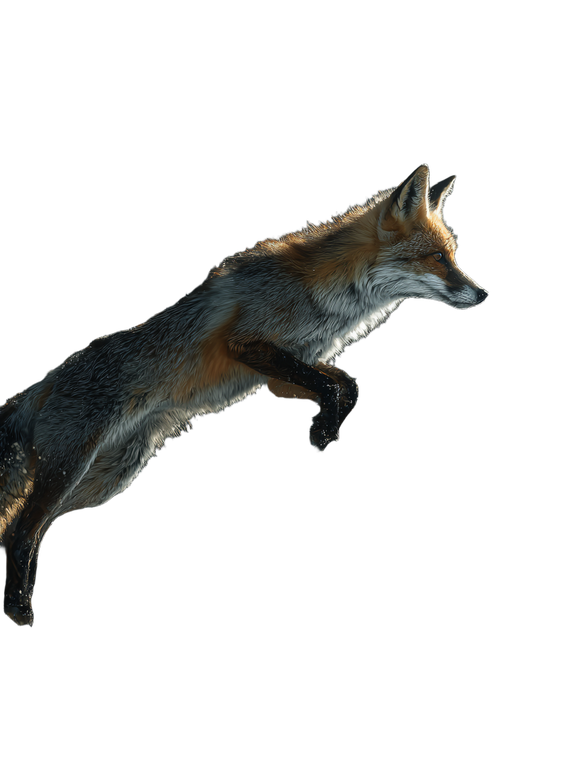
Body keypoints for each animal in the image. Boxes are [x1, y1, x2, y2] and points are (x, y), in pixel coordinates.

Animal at [1, 164, 488, 626]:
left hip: (106, 477)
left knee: (21, 532)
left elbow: (346, 385)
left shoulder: (286, 372)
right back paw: (19, 611)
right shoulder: (244, 345)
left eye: (452, 255)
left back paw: (14, 603)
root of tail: (40, 386)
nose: (482, 294)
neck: (328, 295)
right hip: (71, 469)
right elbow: (330, 384)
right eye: (436, 258)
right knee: (22, 533)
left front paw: (325, 427)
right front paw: (322, 431)